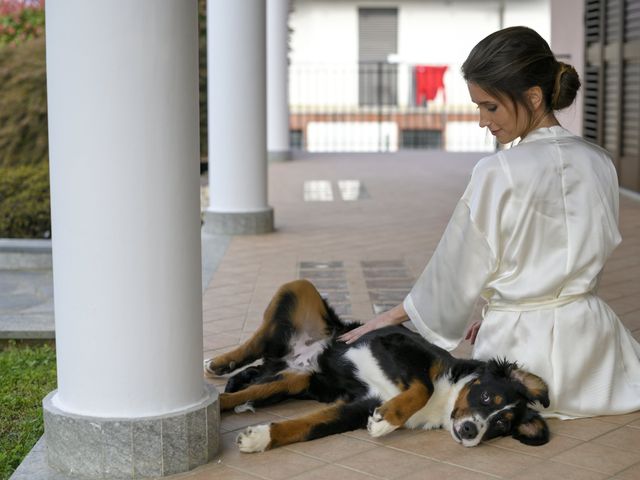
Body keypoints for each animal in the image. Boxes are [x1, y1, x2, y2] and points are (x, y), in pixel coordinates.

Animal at [205, 280, 552, 452]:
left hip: (295, 379)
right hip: (298, 287)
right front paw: (386, 420)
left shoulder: (356, 407)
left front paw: (258, 438)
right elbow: (422, 387)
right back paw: (217, 364)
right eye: (486, 397)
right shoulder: (392, 342)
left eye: (501, 424)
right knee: (256, 342)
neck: (447, 400)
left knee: (234, 396)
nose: (470, 431)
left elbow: (308, 426)